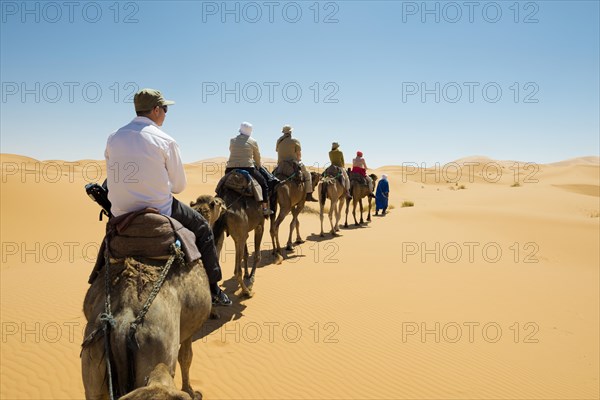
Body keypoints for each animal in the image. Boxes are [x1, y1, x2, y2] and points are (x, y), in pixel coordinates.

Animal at [82, 197, 227, 400]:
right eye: (218, 203)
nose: (225, 204)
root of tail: (123, 320)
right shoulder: (189, 330)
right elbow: (186, 358)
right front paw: (192, 391)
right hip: (156, 350)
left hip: (92, 363)